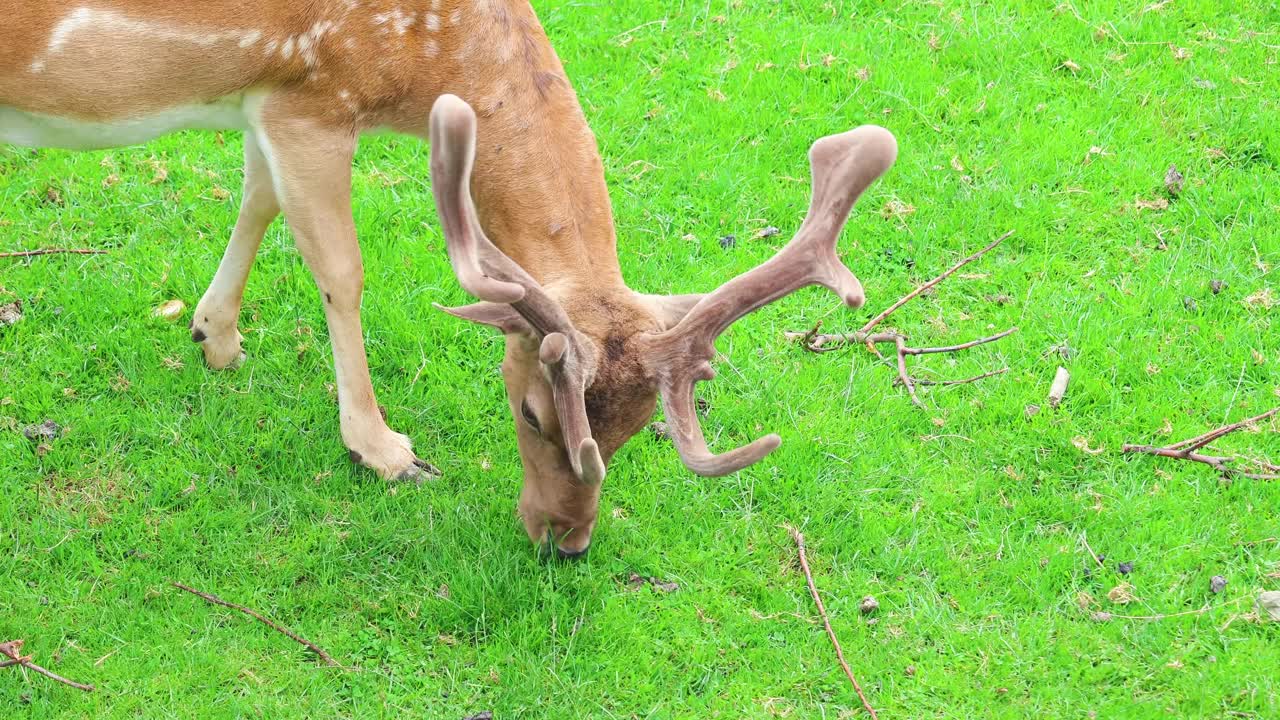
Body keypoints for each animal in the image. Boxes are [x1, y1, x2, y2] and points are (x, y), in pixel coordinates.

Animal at [2, 0, 901, 556]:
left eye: (642, 423)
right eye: (533, 413)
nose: (565, 543)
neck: (431, 63)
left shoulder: (269, 101)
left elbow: (257, 197)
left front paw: (213, 333)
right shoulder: (315, 100)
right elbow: (341, 269)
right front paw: (384, 450)